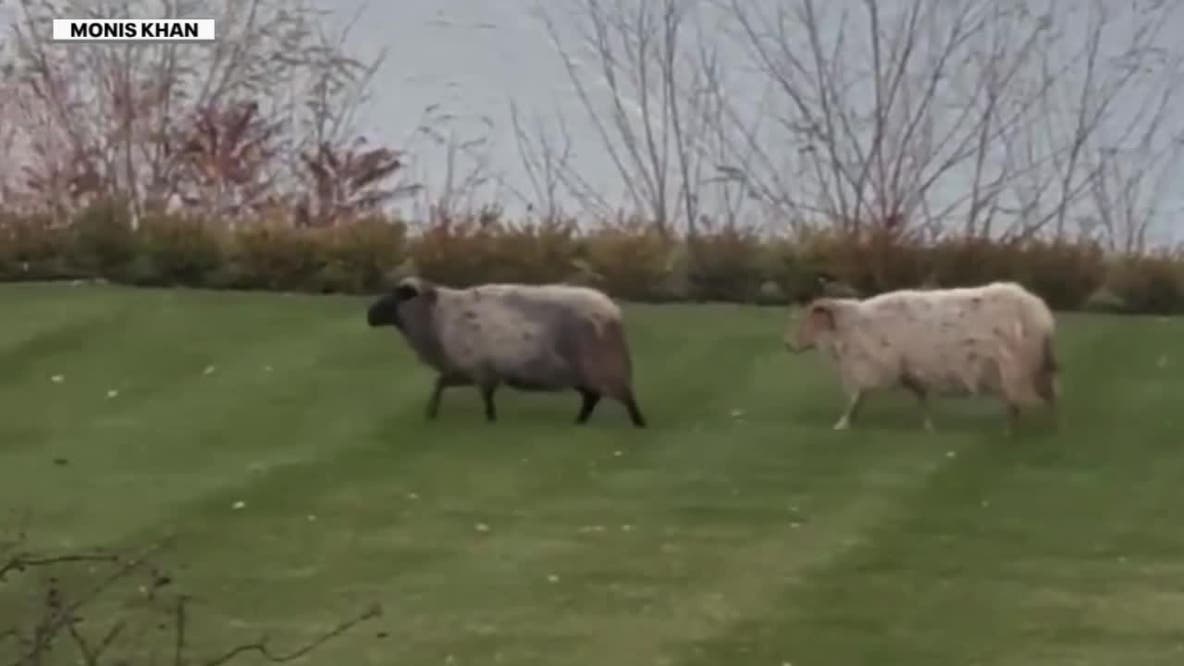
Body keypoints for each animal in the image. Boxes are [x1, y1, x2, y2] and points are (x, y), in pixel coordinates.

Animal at [366, 276, 647, 427]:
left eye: (396, 296)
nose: (369, 315)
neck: (436, 315)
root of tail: (612, 311)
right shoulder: (469, 370)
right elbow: (441, 384)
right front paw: (431, 413)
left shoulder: (478, 370)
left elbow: (481, 396)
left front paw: (489, 420)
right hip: (583, 373)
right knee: (592, 398)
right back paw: (579, 422)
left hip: (603, 366)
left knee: (624, 397)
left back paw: (639, 424)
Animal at [784, 281, 1059, 433]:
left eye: (810, 318)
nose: (787, 344)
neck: (851, 327)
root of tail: (1041, 313)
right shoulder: (908, 368)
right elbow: (920, 397)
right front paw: (928, 427)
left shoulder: (873, 366)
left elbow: (856, 398)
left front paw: (842, 424)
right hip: (1034, 367)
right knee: (1047, 397)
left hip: (1016, 367)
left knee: (1022, 402)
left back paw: (1016, 433)